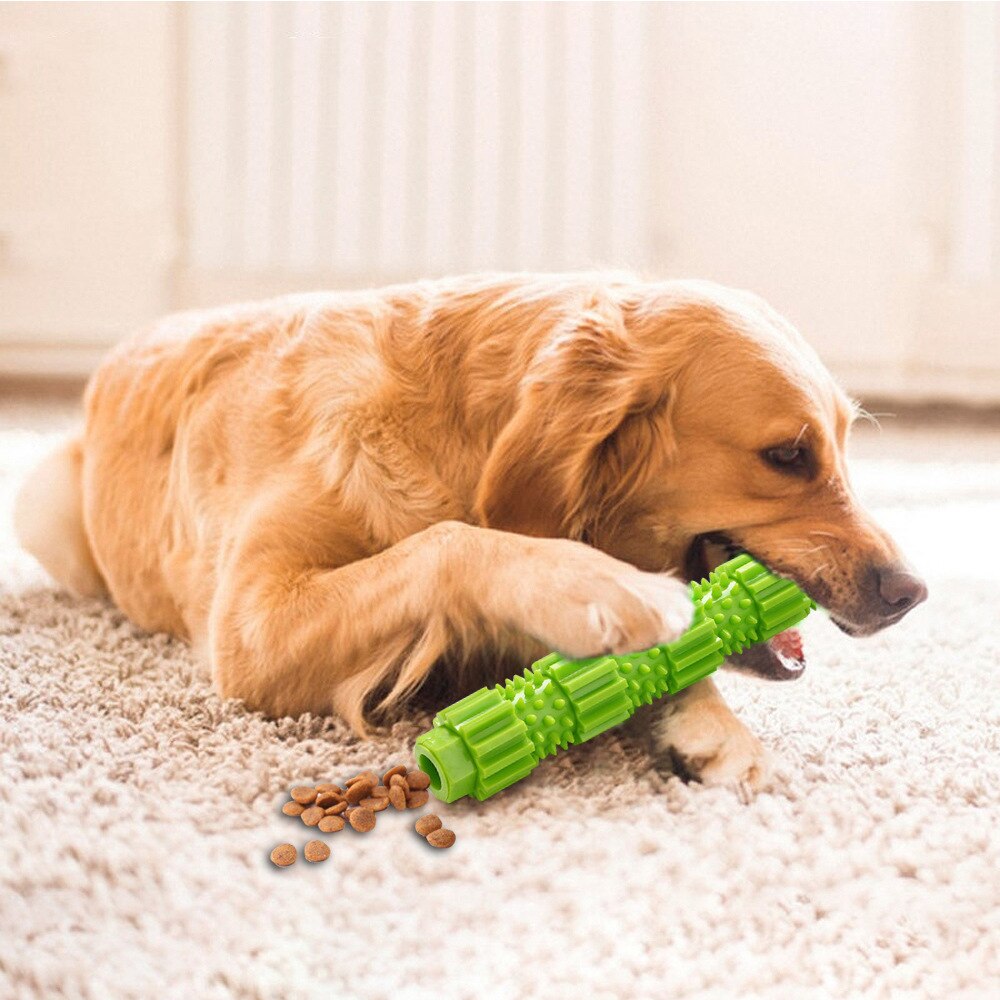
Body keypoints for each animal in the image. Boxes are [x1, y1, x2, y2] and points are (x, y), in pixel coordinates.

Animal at [15, 272, 924, 788]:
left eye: (844, 441)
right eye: (788, 455)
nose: (910, 592)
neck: (461, 437)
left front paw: (711, 726)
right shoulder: (249, 626)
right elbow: (449, 540)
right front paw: (595, 585)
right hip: (44, 507)